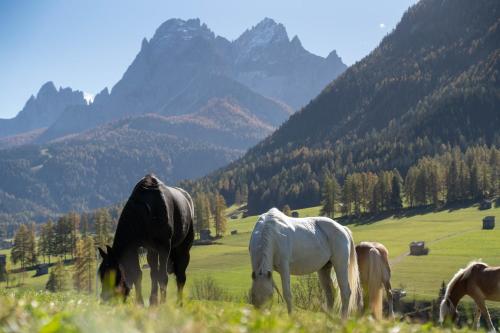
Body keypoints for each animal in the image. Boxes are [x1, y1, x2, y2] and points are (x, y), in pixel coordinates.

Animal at [97, 175, 193, 304]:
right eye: (101, 275)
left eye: (112, 274)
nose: (105, 299)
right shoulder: (137, 247)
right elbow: (138, 274)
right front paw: (142, 303)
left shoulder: (164, 247)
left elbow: (163, 277)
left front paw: (162, 303)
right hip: (153, 250)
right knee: (155, 272)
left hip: (183, 248)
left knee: (181, 276)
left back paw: (179, 303)